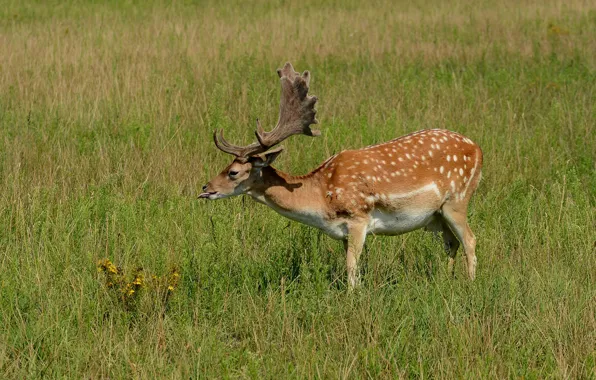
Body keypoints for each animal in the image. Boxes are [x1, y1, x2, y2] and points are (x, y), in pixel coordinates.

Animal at [200, 62, 484, 290]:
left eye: (234, 172)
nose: (206, 188)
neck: (320, 197)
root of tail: (479, 149)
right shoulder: (342, 233)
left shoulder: (359, 218)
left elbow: (351, 269)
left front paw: (352, 297)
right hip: (436, 216)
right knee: (451, 243)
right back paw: (446, 280)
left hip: (457, 201)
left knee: (470, 239)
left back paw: (470, 285)